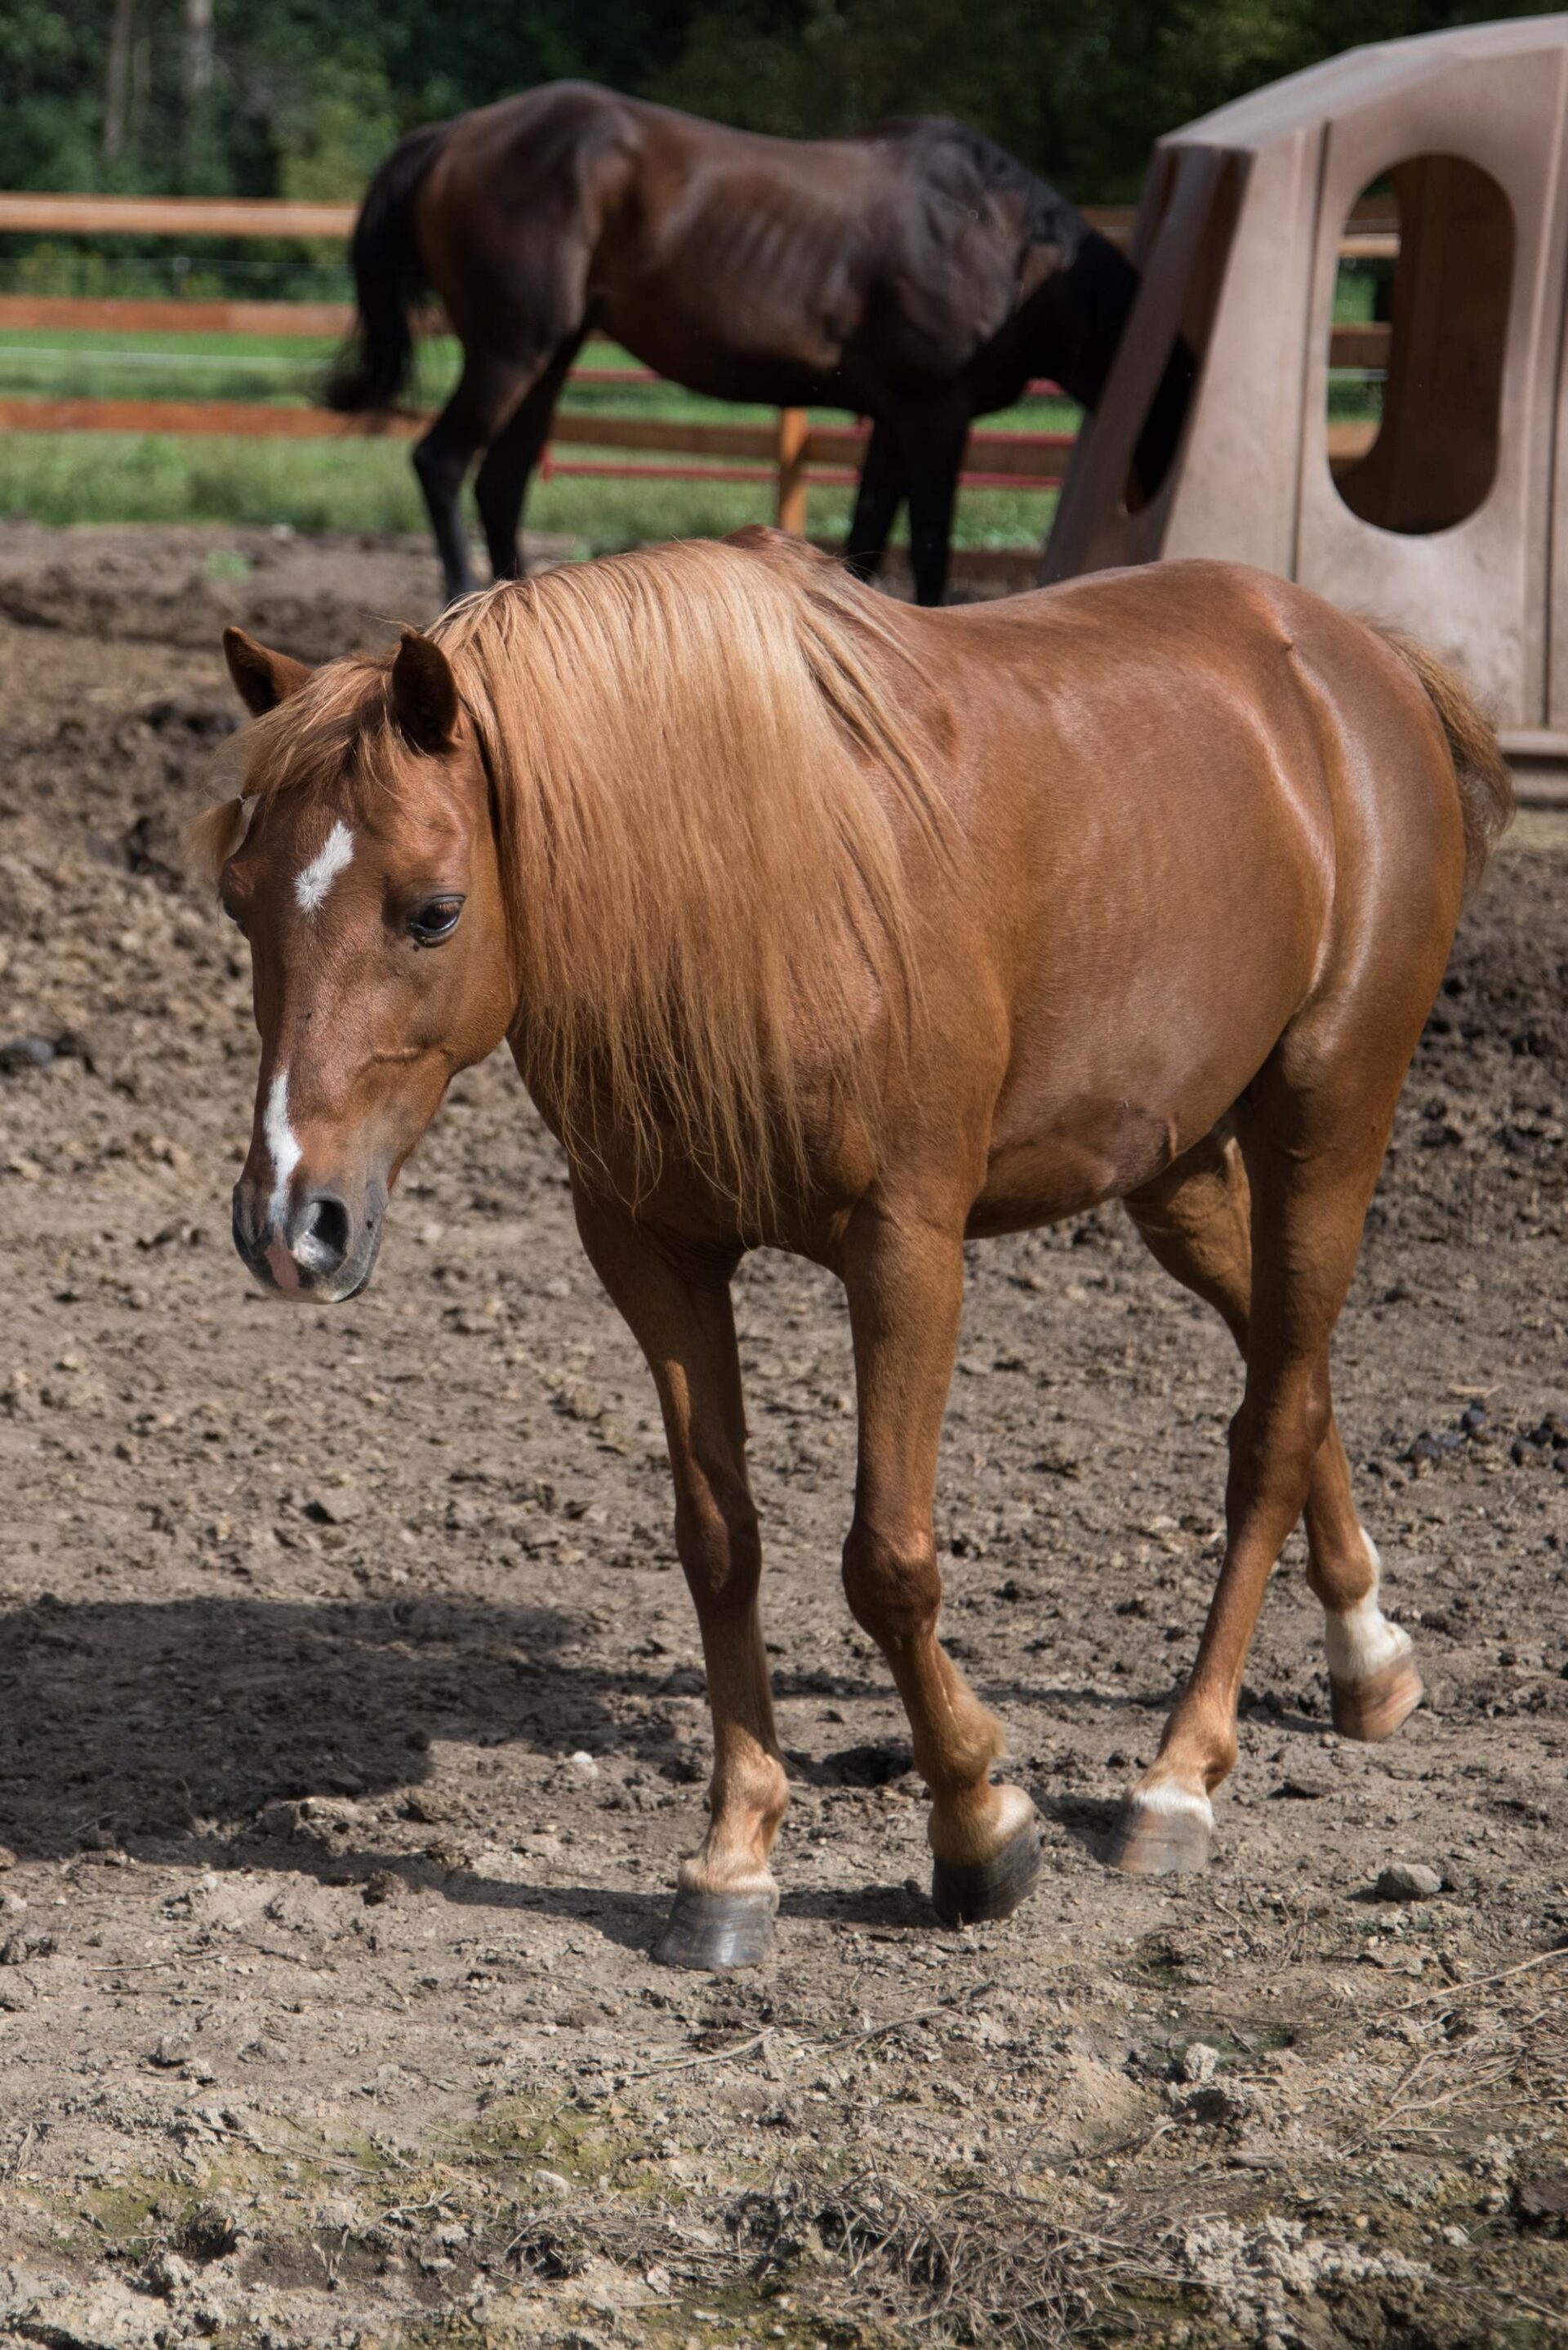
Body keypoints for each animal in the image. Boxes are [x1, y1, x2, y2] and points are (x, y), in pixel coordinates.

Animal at [190, 533, 1513, 1964]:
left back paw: (1179, 1775)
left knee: (1268, 1426)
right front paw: (734, 1857)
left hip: (1328, 1118)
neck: (752, 884)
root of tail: (1355, 657)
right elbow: (718, 1543)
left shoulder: (907, 1250)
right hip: (1172, 1166)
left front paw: (980, 1824)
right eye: (239, 902)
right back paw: (1369, 1657)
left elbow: (887, 1560)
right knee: (1296, 1370)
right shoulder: (650, 1251)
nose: (290, 1222)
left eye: (431, 913)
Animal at [331, 85, 1189, 606]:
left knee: (501, 483)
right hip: (512, 349)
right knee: (442, 461)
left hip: (551, 355)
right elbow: (931, 546)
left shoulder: (895, 417)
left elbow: (867, 539)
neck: (999, 243)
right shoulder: (936, 415)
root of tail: (452, 135)